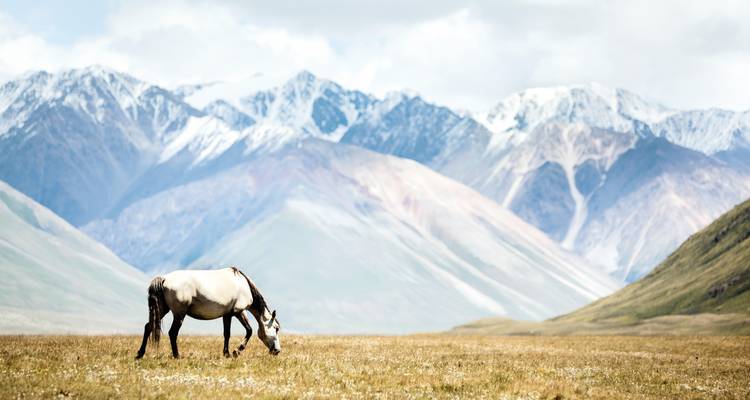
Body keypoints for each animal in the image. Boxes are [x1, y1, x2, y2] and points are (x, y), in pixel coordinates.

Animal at [135, 266, 281, 359]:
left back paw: (140, 354)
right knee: (172, 333)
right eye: (276, 328)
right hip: (179, 314)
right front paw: (236, 352)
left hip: (162, 310)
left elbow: (227, 334)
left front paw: (226, 353)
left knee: (148, 327)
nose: (277, 351)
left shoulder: (227, 315)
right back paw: (177, 356)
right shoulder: (238, 312)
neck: (243, 284)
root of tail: (164, 278)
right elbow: (249, 330)